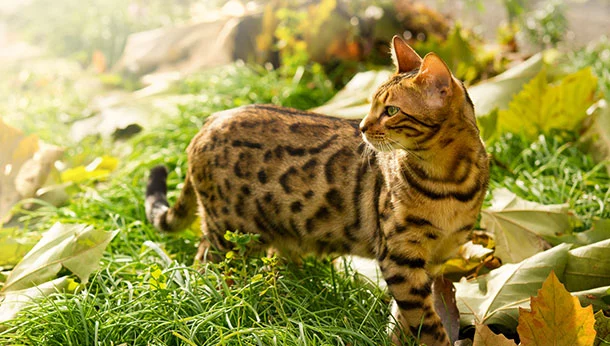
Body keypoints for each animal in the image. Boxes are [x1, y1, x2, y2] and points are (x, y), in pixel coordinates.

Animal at [145, 35, 486, 346]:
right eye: (372, 105)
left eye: (391, 110)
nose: (361, 127)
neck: (448, 180)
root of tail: (209, 121)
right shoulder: (400, 256)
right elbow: (425, 321)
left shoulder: (436, 257)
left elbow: (405, 316)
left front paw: (396, 338)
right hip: (229, 230)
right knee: (203, 263)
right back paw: (214, 299)